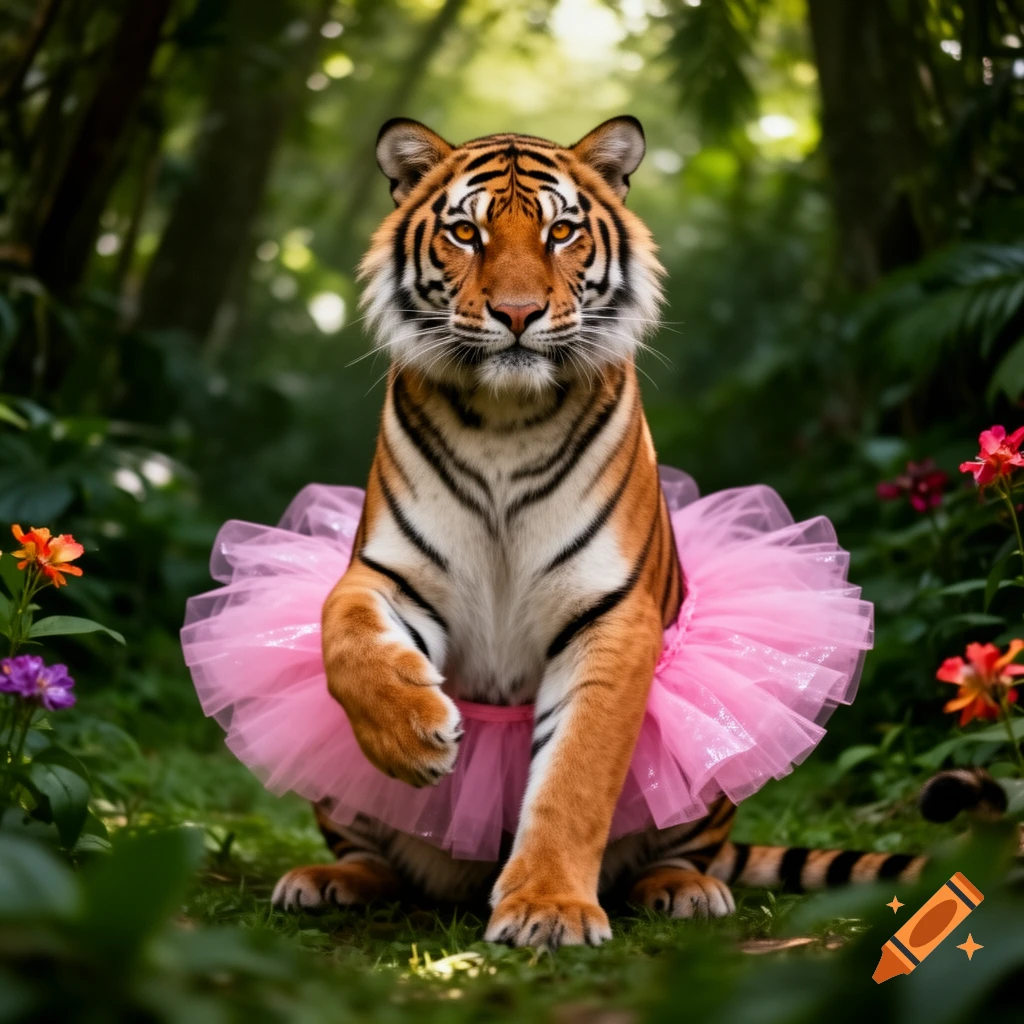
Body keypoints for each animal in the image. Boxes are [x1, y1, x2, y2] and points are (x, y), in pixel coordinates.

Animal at [270, 116, 925, 947]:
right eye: (465, 233)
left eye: (561, 232)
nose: (517, 314)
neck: (504, 421)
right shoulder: (394, 575)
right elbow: (343, 625)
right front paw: (412, 735)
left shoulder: (609, 614)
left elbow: (576, 774)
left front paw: (549, 907)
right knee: (373, 856)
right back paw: (330, 881)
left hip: (708, 795)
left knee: (689, 849)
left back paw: (683, 888)